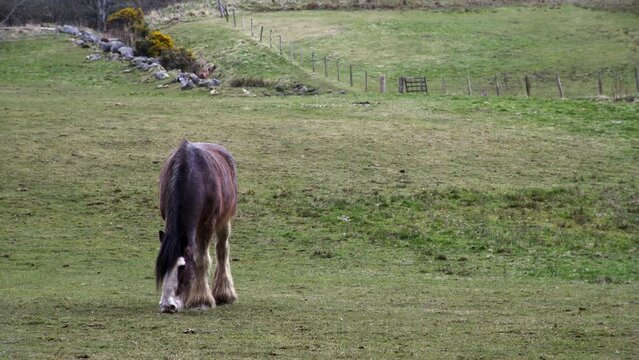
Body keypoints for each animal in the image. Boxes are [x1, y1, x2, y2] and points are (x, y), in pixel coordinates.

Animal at [156, 139, 239, 314]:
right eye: (162, 268)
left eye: (182, 267)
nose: (167, 305)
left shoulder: (208, 224)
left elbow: (201, 260)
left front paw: (201, 300)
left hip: (224, 220)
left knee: (222, 250)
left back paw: (223, 294)